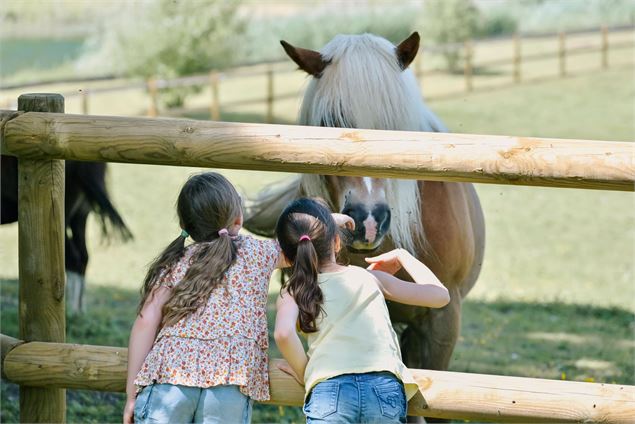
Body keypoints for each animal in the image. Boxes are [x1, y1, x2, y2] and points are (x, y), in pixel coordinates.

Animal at [1, 156, 132, 312]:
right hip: (81, 214)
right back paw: (79, 310)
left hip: (63, 218)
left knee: (74, 260)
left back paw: (70, 310)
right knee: (83, 257)